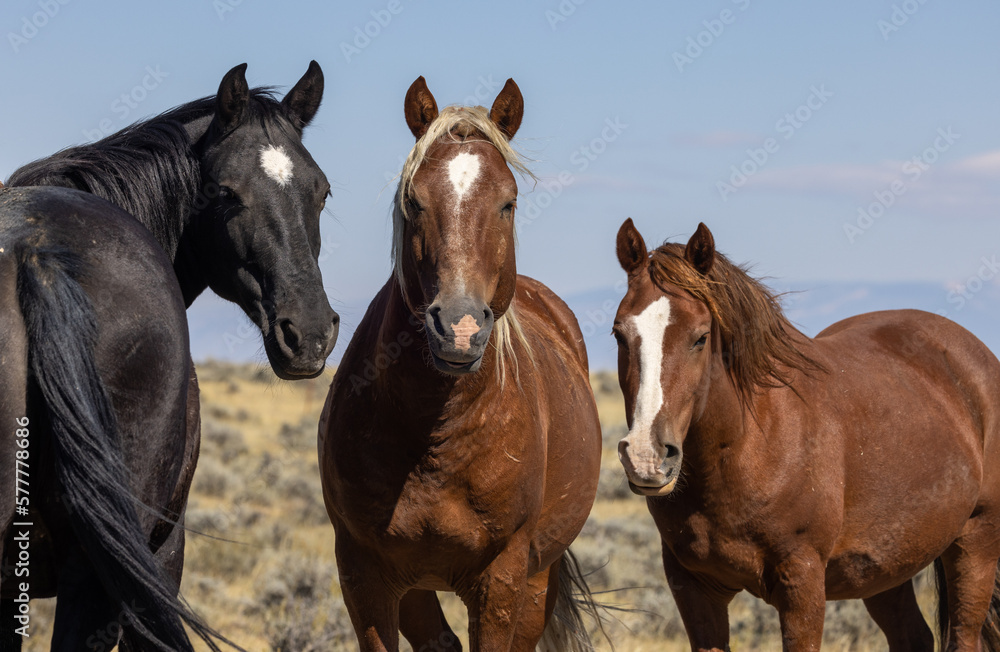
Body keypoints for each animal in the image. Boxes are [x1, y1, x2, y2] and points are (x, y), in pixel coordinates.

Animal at [320, 77, 600, 652]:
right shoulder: (364, 575)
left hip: (537, 580)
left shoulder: (502, 579)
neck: (437, 437)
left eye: (508, 203)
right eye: (414, 201)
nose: (460, 328)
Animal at [612, 220, 1000, 652]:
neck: (748, 447)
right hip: (885, 567)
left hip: (975, 543)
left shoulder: (802, 583)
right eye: (619, 334)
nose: (646, 457)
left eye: (700, 337)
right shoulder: (694, 589)